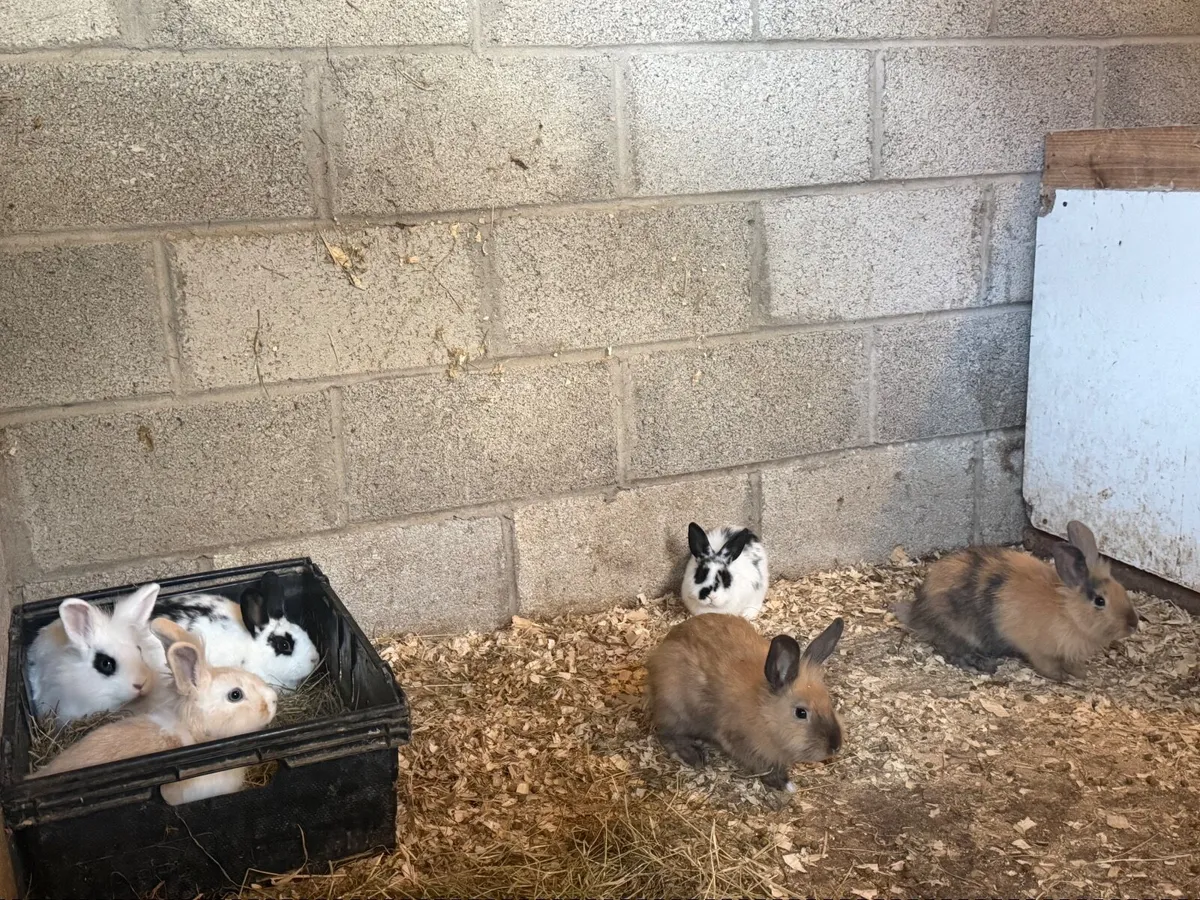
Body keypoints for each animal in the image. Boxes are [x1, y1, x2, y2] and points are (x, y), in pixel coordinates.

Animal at [646, 613, 845, 791]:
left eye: (828, 701)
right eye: (801, 712)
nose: (835, 747)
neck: (764, 713)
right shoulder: (739, 742)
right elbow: (763, 766)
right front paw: (783, 783)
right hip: (676, 709)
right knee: (667, 734)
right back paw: (692, 754)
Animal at [894, 520, 1139, 683]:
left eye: (1121, 589)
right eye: (1100, 601)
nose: (1133, 624)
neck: (1067, 613)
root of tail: (917, 610)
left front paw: (1082, 674)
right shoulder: (1039, 652)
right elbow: (1048, 668)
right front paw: (1064, 678)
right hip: (957, 629)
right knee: (950, 650)